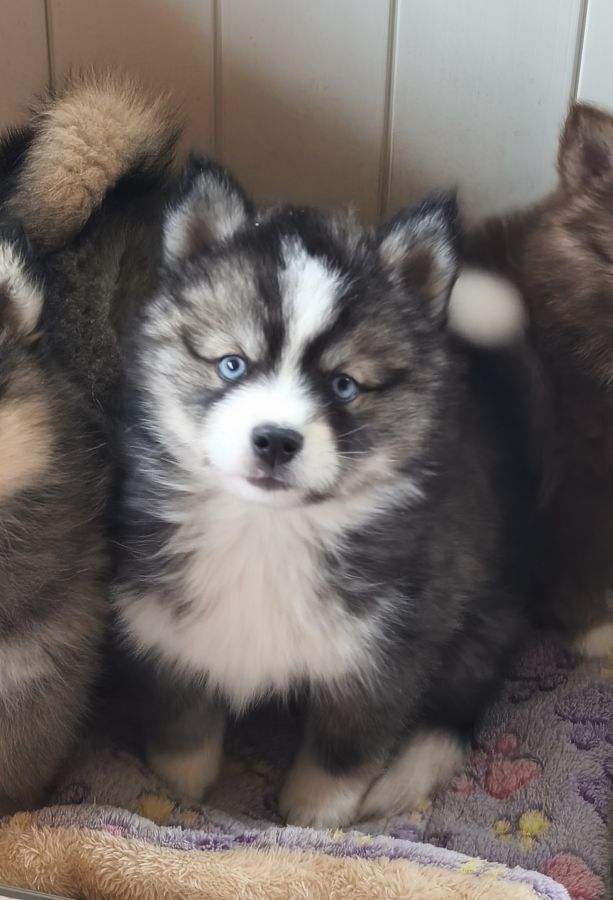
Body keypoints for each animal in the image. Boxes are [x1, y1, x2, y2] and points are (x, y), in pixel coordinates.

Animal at [110, 156, 540, 828]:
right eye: (231, 364)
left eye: (344, 385)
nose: (275, 440)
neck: (267, 531)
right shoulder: (163, 627)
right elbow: (183, 728)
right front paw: (179, 792)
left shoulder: (387, 649)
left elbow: (344, 750)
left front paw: (314, 817)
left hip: (484, 607)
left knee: (458, 704)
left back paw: (403, 779)